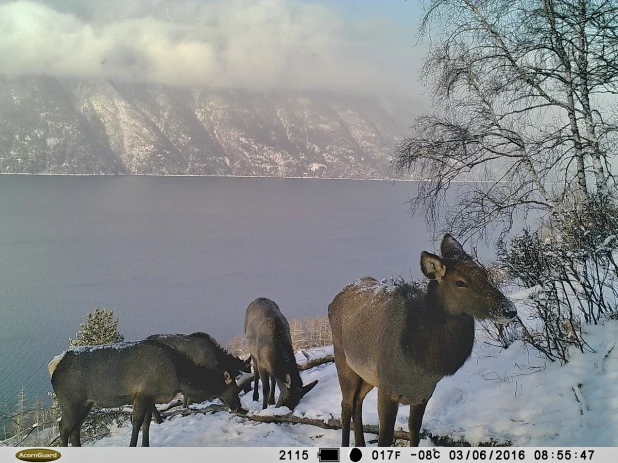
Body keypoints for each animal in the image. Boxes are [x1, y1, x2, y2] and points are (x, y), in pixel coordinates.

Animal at [48, 338, 245, 448]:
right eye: (235, 389)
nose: (239, 407)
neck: (179, 377)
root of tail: (53, 367)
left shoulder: (151, 397)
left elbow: (147, 423)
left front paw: (146, 444)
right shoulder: (142, 394)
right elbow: (136, 423)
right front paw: (132, 446)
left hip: (87, 403)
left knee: (75, 429)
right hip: (71, 400)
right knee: (63, 427)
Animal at [328, 234, 516, 448]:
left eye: (484, 274)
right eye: (460, 282)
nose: (509, 310)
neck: (420, 362)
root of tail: (333, 301)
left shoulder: (422, 394)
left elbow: (414, 434)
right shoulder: (387, 389)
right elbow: (385, 439)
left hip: (367, 375)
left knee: (357, 401)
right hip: (343, 362)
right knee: (346, 405)